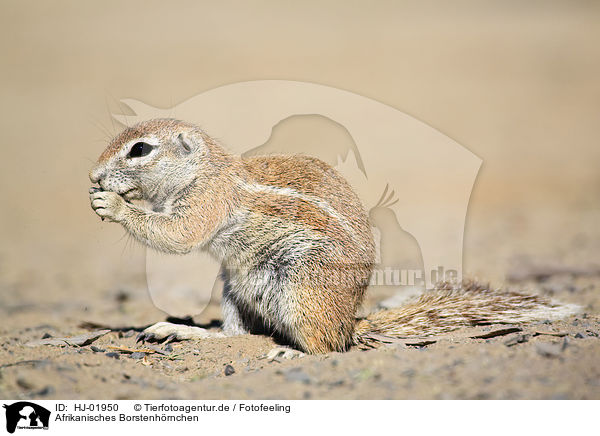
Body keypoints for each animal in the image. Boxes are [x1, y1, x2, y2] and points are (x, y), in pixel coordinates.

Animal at [88, 119, 576, 354]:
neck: (203, 169)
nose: (93, 176)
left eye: (140, 149)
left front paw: (112, 204)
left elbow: (178, 235)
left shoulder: (207, 201)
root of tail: (350, 322)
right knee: (238, 336)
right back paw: (188, 333)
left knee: (326, 347)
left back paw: (292, 354)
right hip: (233, 287)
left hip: (304, 289)